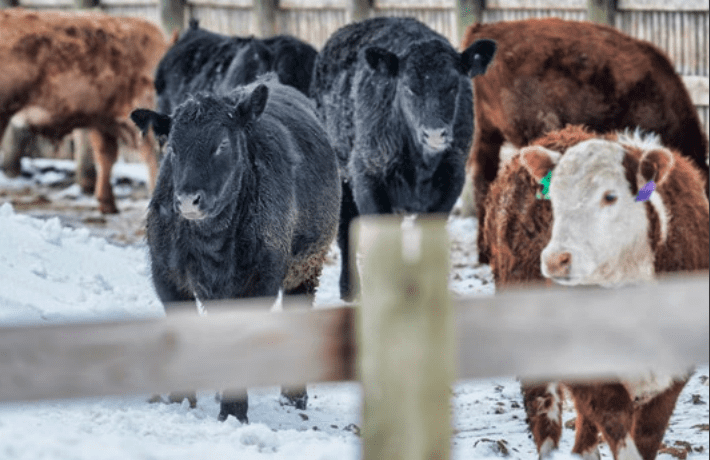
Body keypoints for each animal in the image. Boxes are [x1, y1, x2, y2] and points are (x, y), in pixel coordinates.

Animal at [131, 75, 342, 424]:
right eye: (172, 148)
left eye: (222, 145)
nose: (187, 200)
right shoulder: (168, 275)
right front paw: (181, 400)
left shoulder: (260, 279)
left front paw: (233, 413)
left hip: (307, 267)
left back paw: (293, 398)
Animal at [308, 17, 498, 298]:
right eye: (409, 88)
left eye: (453, 87)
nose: (434, 133)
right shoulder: (368, 178)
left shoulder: (451, 181)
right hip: (341, 176)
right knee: (346, 231)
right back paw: (349, 289)